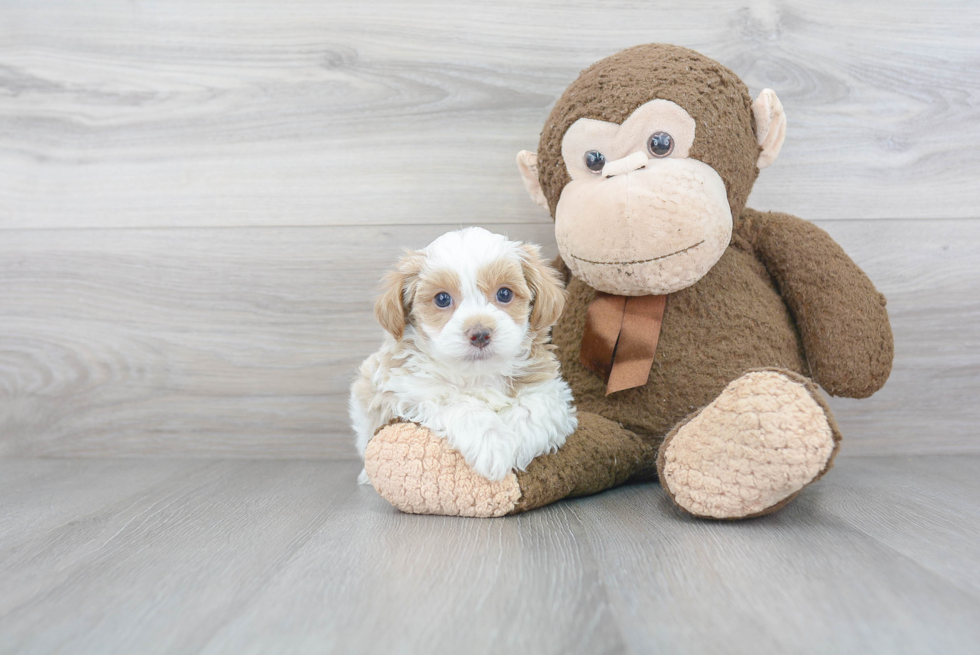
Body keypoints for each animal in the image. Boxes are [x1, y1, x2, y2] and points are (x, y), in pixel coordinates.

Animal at [352, 228, 580, 484]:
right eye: (442, 299)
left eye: (504, 294)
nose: (480, 334)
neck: (478, 375)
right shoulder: (409, 388)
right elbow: (459, 402)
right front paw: (493, 444)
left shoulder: (550, 387)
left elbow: (535, 407)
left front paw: (518, 443)